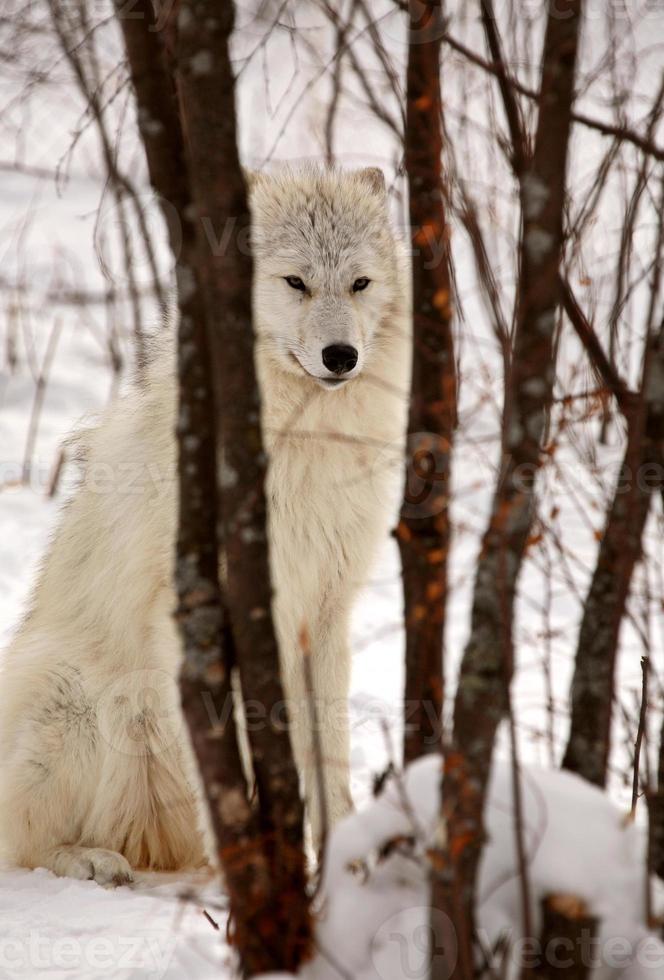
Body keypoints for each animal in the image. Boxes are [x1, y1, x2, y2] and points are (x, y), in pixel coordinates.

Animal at [0, 165, 410, 884]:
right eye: (296, 282)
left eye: (359, 283)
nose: (341, 355)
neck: (300, 446)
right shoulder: (196, 616)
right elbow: (231, 754)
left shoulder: (325, 614)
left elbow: (328, 759)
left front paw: (343, 868)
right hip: (77, 698)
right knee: (23, 848)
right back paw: (94, 861)